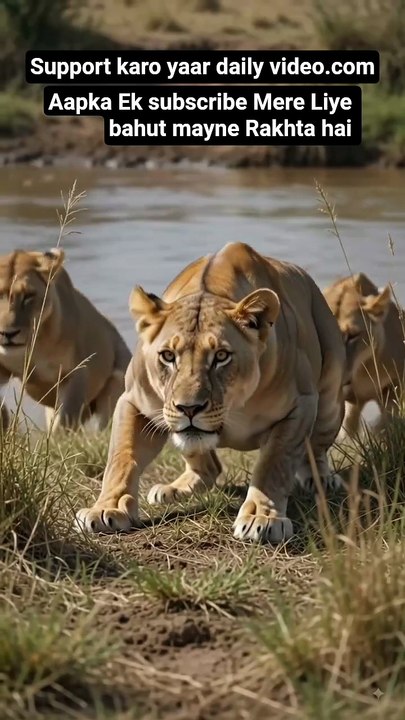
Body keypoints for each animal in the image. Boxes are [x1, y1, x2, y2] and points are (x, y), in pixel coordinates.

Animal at [0, 248, 131, 431]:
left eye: (28, 296)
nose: (7, 334)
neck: (32, 345)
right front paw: (4, 423)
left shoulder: (76, 372)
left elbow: (65, 421)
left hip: (118, 383)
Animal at [76, 242, 345, 543]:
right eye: (168, 356)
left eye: (221, 356)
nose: (189, 408)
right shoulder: (134, 401)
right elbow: (121, 457)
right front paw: (106, 509)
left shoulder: (300, 405)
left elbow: (274, 464)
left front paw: (261, 518)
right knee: (206, 465)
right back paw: (173, 489)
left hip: (330, 402)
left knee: (316, 448)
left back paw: (321, 480)